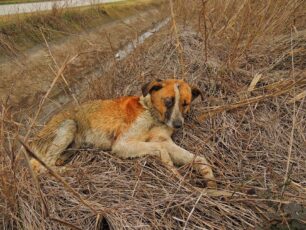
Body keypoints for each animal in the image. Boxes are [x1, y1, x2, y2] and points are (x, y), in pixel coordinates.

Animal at [28, 78, 215, 187]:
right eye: (168, 101)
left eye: (185, 103)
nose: (178, 125)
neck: (151, 112)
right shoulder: (122, 144)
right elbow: (161, 150)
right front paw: (177, 176)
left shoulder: (164, 140)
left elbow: (200, 158)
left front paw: (210, 183)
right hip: (69, 125)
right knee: (39, 166)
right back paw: (69, 170)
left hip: (74, 144)